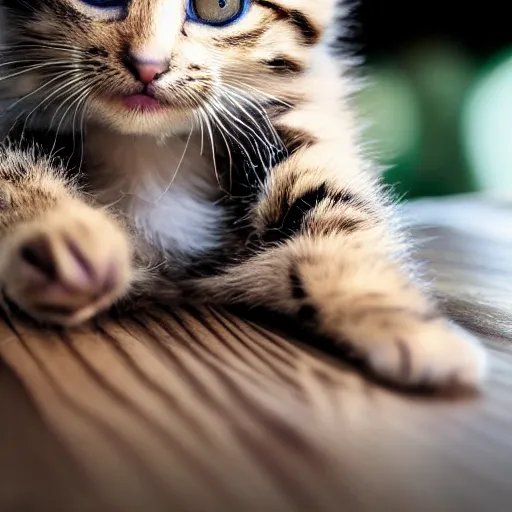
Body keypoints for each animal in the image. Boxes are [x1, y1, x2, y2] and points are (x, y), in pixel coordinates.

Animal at [0, 0, 484, 388]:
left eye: (220, 5)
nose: (149, 66)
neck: (151, 147)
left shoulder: (293, 118)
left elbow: (336, 206)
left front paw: (395, 316)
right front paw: (60, 238)